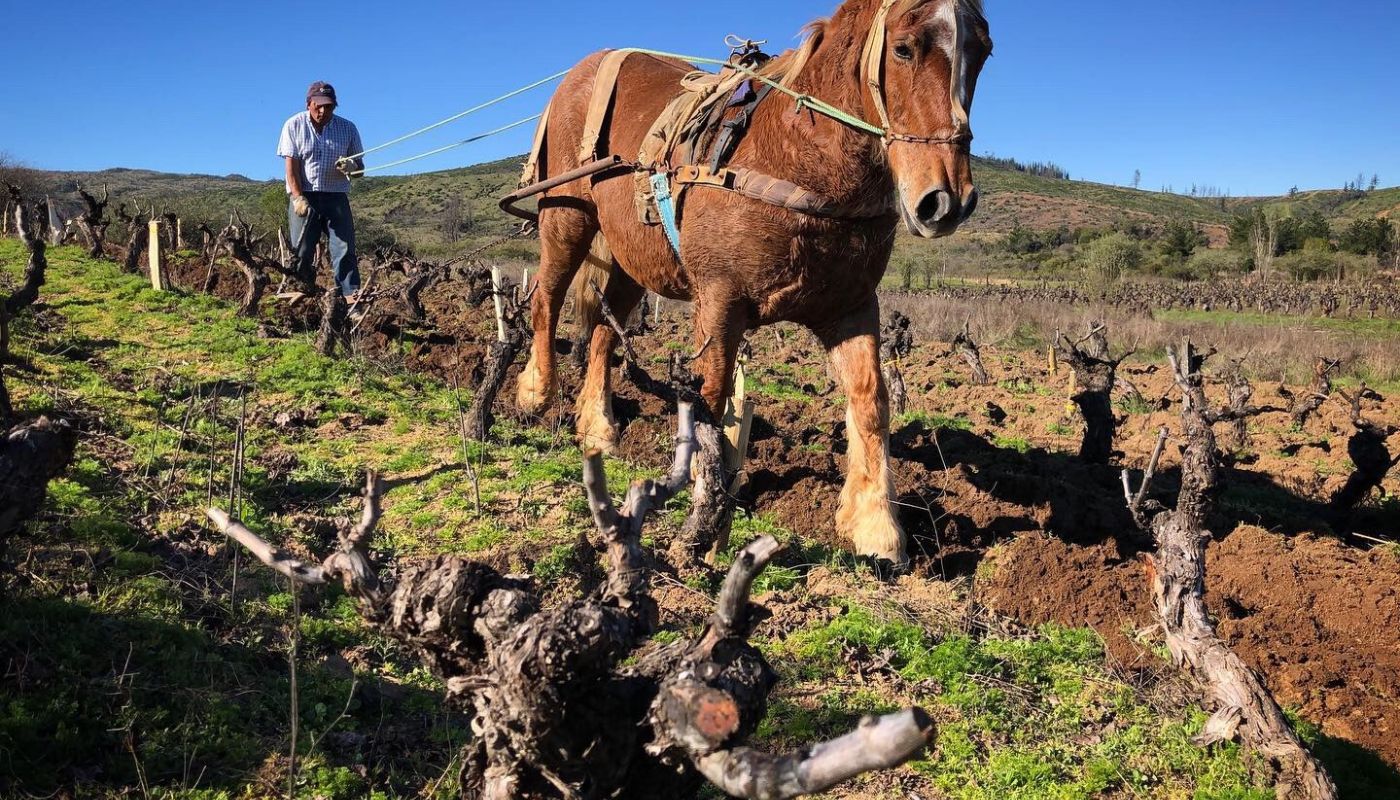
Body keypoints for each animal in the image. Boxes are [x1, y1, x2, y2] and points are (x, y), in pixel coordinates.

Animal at [514, 0, 992, 567]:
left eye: (982, 52)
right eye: (903, 48)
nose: (948, 201)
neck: (799, 156)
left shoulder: (851, 306)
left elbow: (871, 399)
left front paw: (876, 525)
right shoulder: (719, 302)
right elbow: (712, 400)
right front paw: (705, 512)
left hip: (631, 257)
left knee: (606, 334)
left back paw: (598, 430)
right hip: (565, 217)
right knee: (547, 299)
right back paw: (535, 393)